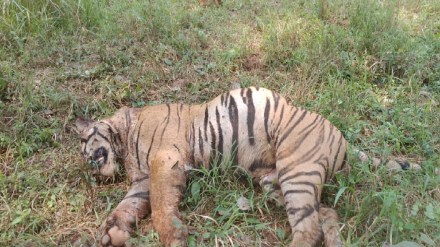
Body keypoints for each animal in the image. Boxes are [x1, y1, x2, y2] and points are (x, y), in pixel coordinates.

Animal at [76, 86, 420, 246]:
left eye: (83, 143)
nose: (90, 167)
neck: (123, 138)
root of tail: (343, 139)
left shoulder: (165, 161)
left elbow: (161, 205)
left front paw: (172, 237)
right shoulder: (142, 181)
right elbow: (127, 206)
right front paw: (113, 232)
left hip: (297, 171)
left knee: (309, 228)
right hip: (273, 180)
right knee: (326, 215)